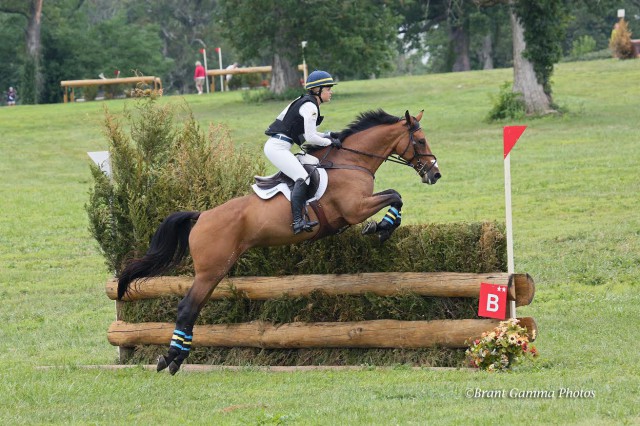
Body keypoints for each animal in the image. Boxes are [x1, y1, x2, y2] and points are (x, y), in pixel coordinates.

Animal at [117, 109, 440, 372]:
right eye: (420, 141)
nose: (435, 174)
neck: (352, 162)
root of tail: (202, 216)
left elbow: (396, 196)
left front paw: (384, 226)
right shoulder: (355, 209)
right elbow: (395, 195)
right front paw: (381, 227)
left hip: (216, 272)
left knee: (194, 308)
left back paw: (176, 356)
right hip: (211, 270)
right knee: (187, 307)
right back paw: (170, 360)